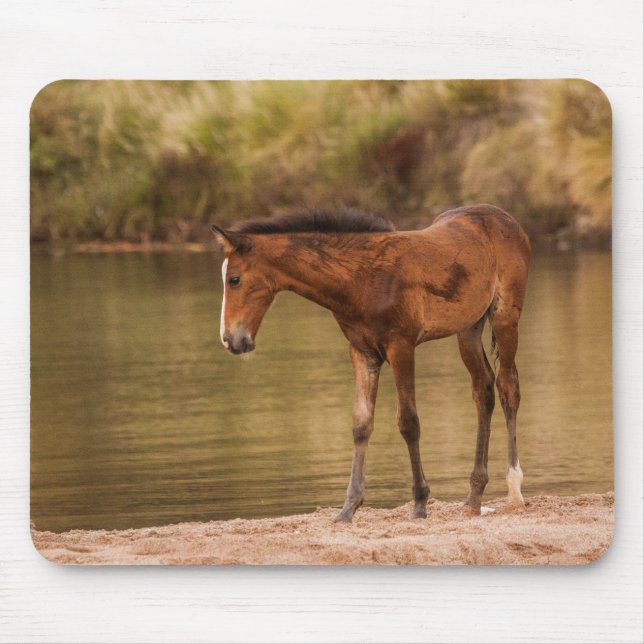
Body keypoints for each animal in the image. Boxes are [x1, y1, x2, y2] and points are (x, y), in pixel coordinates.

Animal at [212, 204, 531, 522]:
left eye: (234, 279)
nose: (231, 340)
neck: (361, 279)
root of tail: (505, 218)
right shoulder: (362, 352)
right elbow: (361, 423)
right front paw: (348, 508)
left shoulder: (401, 347)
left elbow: (409, 422)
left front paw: (419, 503)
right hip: (468, 328)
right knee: (483, 390)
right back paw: (474, 496)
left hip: (505, 317)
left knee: (508, 387)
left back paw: (515, 490)